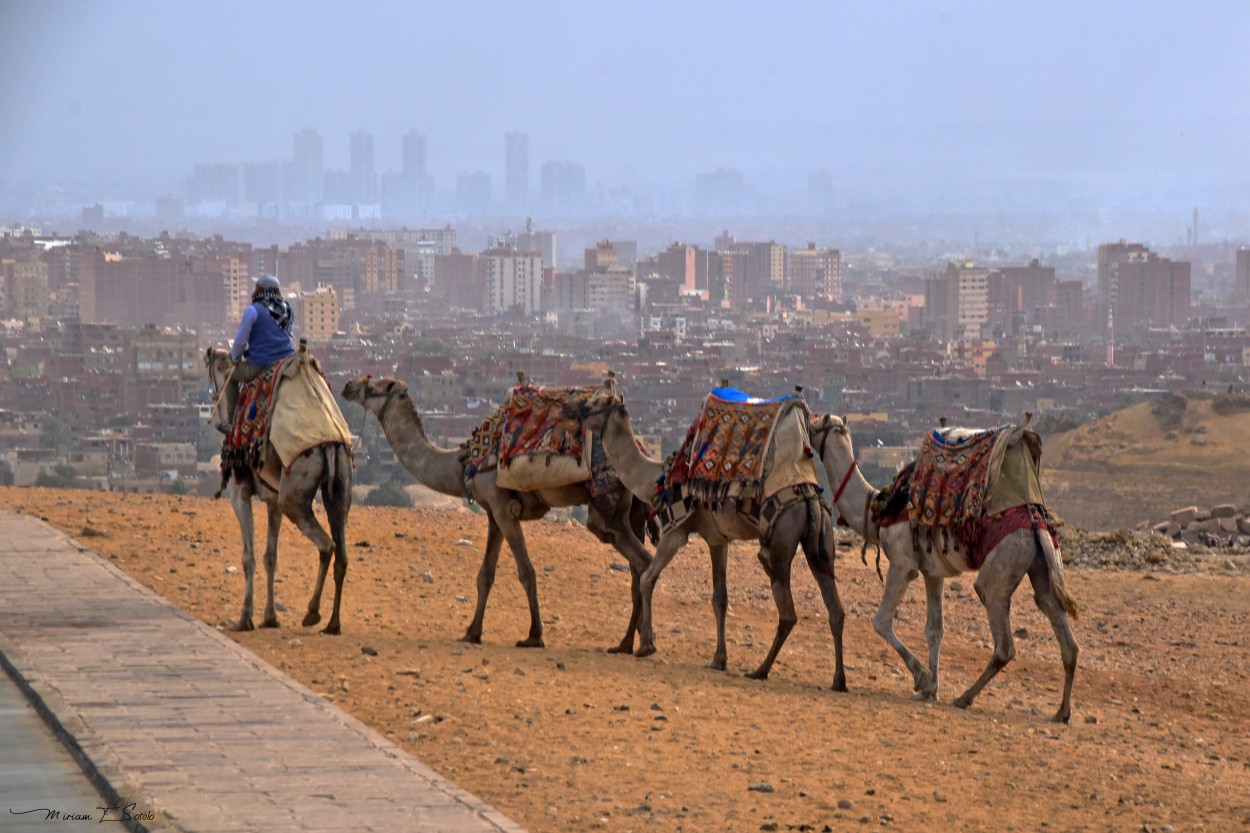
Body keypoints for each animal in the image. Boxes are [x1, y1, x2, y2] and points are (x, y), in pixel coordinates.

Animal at [203, 347, 352, 632]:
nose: (212, 394)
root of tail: (330, 446)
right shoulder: (272, 499)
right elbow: (271, 556)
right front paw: (270, 617)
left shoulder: (240, 493)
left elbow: (248, 557)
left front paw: (245, 618)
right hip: (340, 487)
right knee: (342, 553)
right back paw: (333, 624)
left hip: (293, 496)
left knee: (327, 545)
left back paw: (312, 613)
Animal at [342, 372, 655, 650]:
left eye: (377, 385)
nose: (348, 386)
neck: (463, 463)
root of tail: (641, 449)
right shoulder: (493, 513)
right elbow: (486, 575)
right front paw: (472, 632)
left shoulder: (504, 508)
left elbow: (526, 571)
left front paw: (533, 636)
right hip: (633, 512)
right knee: (636, 570)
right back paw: (629, 642)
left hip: (608, 505)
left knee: (641, 559)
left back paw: (641, 643)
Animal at [567, 377, 850, 685]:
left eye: (596, 403)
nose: (574, 408)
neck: (656, 479)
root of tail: (809, 498)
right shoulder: (717, 539)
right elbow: (719, 598)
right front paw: (718, 659)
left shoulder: (675, 529)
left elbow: (647, 578)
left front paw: (646, 645)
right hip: (820, 540)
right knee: (836, 610)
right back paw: (838, 680)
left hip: (780, 540)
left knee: (788, 612)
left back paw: (760, 670)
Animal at [805, 415, 1080, 720]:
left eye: (815, 422)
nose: (806, 417)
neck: (876, 509)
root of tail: (1035, 523)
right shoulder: (932, 572)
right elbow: (934, 628)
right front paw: (931, 690)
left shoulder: (902, 564)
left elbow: (881, 621)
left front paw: (922, 678)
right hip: (1042, 562)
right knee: (1060, 625)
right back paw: (1062, 712)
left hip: (1003, 563)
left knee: (1002, 636)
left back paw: (965, 698)